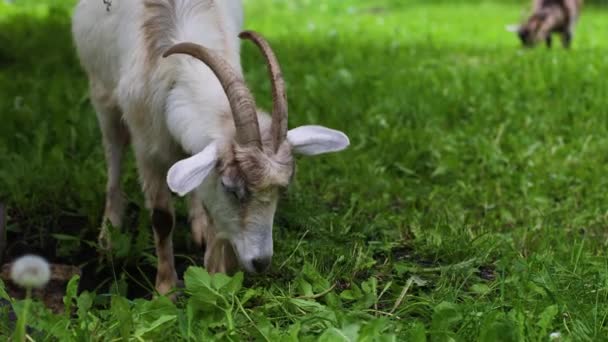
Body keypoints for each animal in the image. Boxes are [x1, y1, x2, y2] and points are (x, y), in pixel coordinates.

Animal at [70, 0, 350, 294]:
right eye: (231, 188)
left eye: (282, 191)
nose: (260, 262)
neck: (180, 70)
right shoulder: (147, 146)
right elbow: (162, 218)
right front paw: (166, 288)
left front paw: (216, 277)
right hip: (101, 91)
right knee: (113, 147)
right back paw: (109, 233)